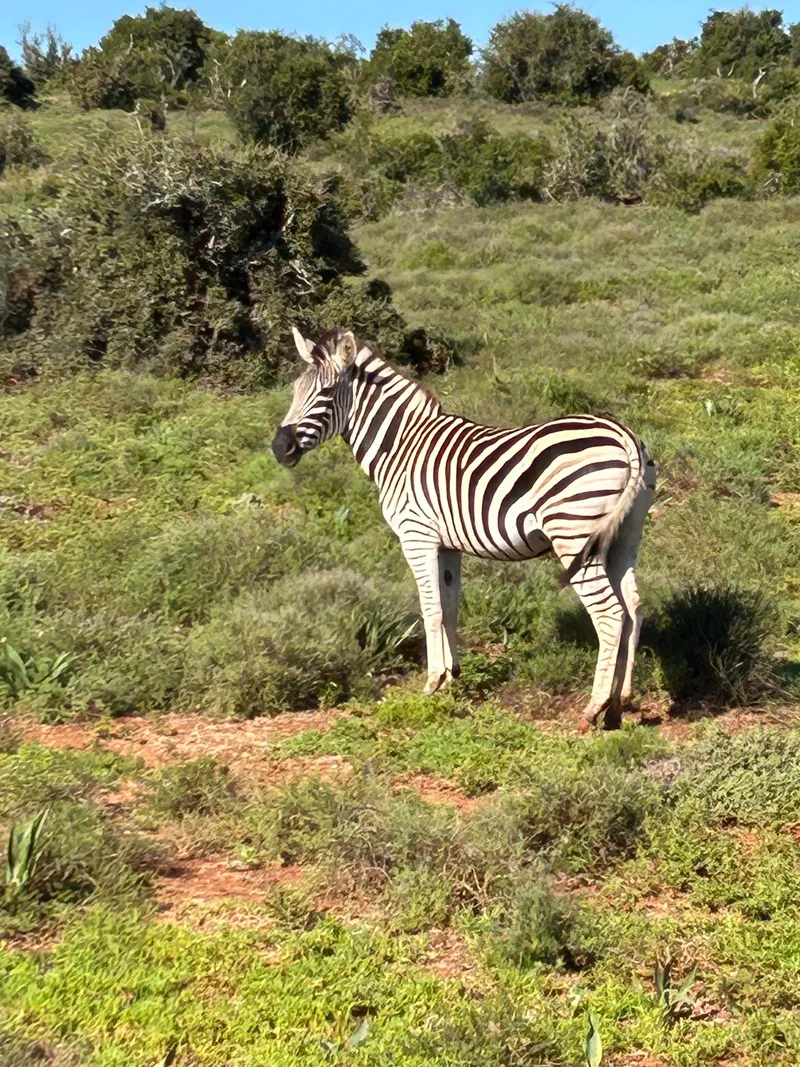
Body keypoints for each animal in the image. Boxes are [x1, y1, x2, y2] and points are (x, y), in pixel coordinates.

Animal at [272, 327, 657, 730]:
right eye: (295, 390)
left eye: (327, 393)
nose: (279, 448)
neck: (400, 445)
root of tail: (623, 434)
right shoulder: (447, 545)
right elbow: (450, 607)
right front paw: (452, 677)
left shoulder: (417, 536)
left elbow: (430, 610)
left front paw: (431, 684)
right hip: (624, 536)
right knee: (632, 608)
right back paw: (619, 703)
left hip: (573, 535)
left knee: (609, 614)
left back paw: (593, 708)